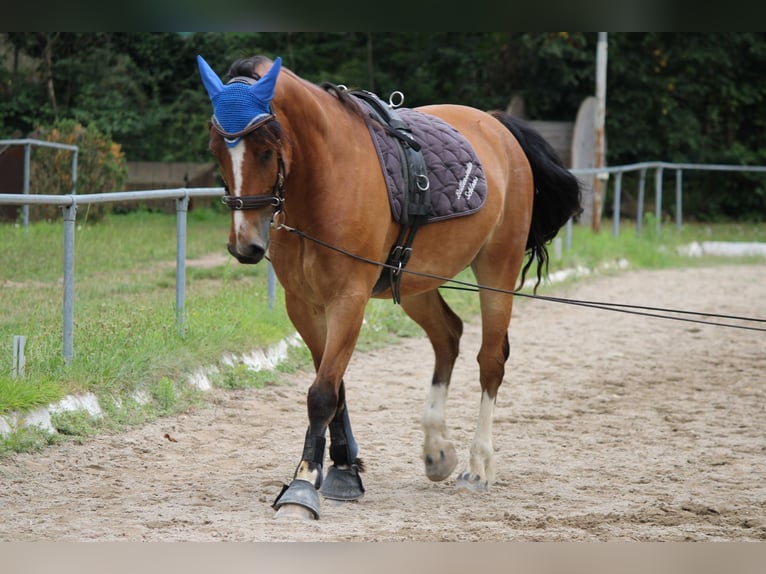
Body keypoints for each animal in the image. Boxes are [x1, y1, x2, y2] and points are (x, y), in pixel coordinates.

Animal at [198, 54, 584, 520]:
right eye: (217, 149)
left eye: (266, 150)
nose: (246, 245)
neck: (325, 180)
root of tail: (496, 125)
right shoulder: (304, 305)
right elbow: (336, 387)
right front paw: (344, 470)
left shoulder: (348, 299)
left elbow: (322, 393)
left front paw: (303, 485)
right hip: (418, 282)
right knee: (448, 336)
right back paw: (438, 450)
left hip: (498, 270)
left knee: (491, 360)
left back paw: (477, 466)